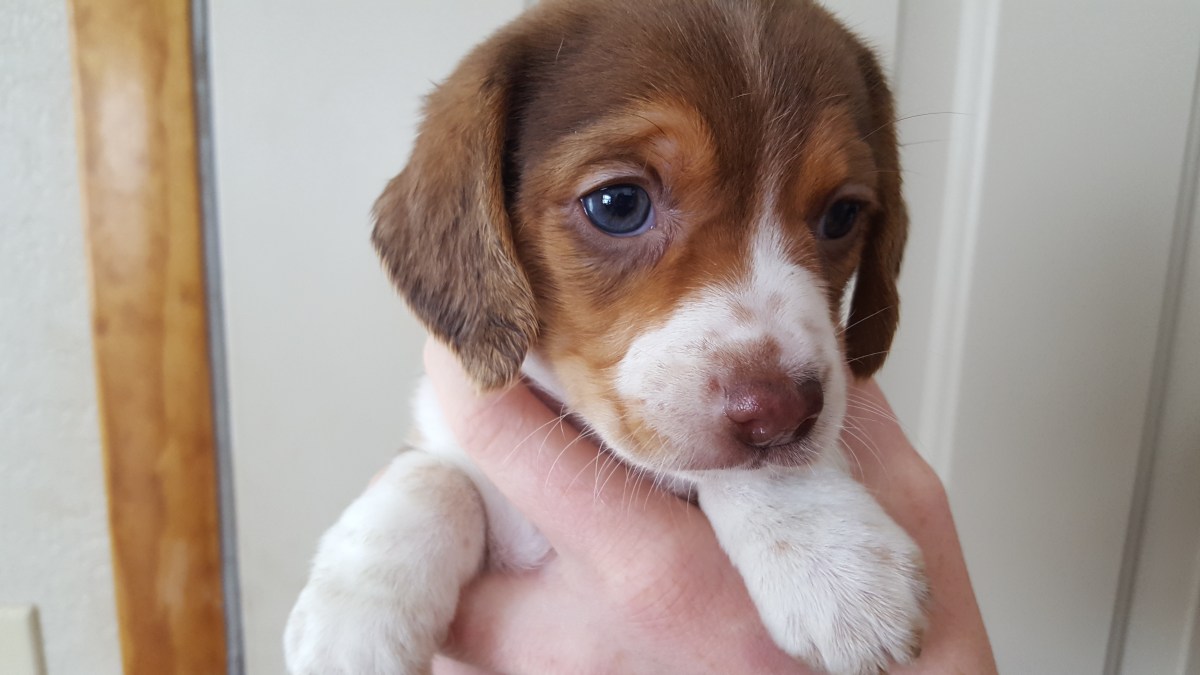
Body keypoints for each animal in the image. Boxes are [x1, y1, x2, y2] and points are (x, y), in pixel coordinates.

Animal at [284, 0, 926, 673]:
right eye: (618, 204)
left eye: (842, 215)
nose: (782, 414)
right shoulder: (441, 429)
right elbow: (429, 478)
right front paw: (352, 620)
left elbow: (744, 471)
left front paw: (833, 558)